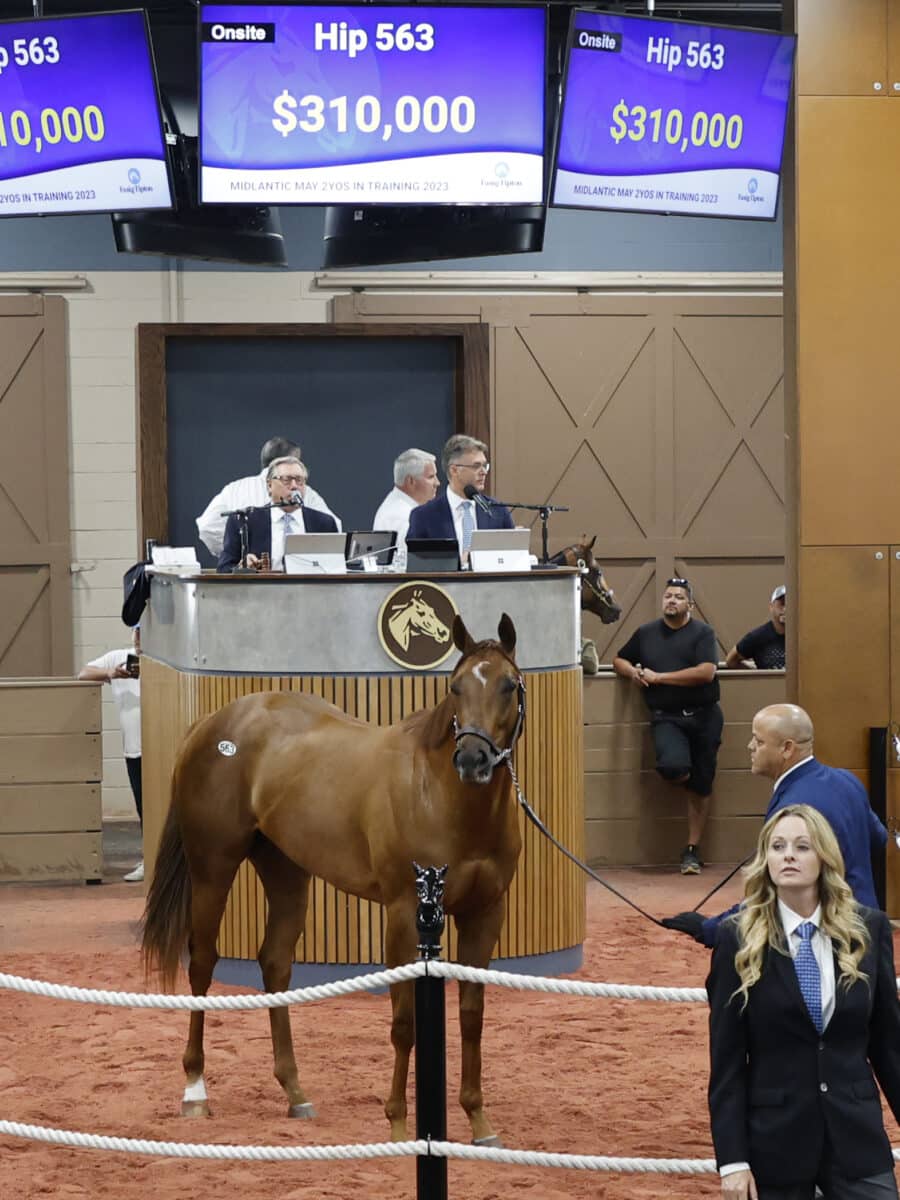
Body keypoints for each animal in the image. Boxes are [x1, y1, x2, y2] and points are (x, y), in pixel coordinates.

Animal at [139, 619, 520, 1142]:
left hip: (285, 870)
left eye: (509, 685)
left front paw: (479, 1120)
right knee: (201, 962)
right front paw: (397, 1121)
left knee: (275, 963)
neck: (444, 799)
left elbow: (471, 1016)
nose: (473, 761)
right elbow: (404, 1021)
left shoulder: (486, 912)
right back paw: (195, 1090)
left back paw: (294, 1092)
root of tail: (214, 722)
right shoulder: (404, 914)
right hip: (213, 865)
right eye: (456, 687)